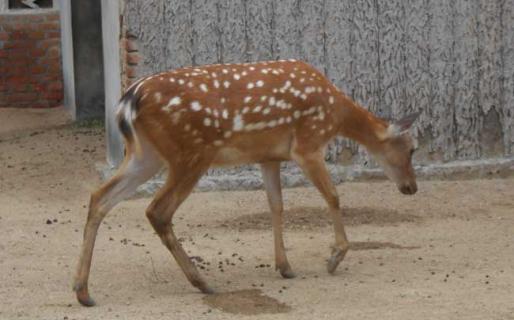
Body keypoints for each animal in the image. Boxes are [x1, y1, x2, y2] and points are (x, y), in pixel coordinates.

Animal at [73, 59, 416, 304]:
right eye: (412, 149)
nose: (411, 187)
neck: (336, 113)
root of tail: (129, 100)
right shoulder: (307, 144)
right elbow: (332, 195)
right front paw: (335, 257)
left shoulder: (269, 156)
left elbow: (276, 205)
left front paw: (285, 267)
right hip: (191, 153)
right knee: (157, 210)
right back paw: (202, 282)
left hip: (146, 155)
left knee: (99, 197)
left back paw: (83, 291)